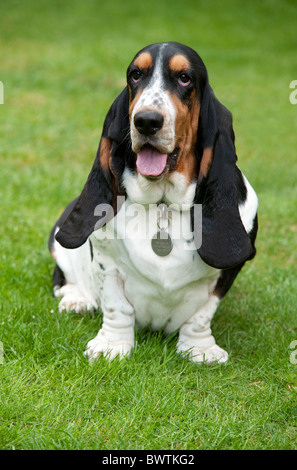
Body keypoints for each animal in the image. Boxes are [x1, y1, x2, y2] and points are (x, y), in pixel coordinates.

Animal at [48, 42, 256, 364]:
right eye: (135, 75)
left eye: (184, 78)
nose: (146, 121)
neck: (163, 203)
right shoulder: (106, 261)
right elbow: (116, 306)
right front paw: (112, 346)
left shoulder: (226, 274)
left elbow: (202, 314)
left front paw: (200, 349)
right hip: (58, 239)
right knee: (63, 276)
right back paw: (76, 300)